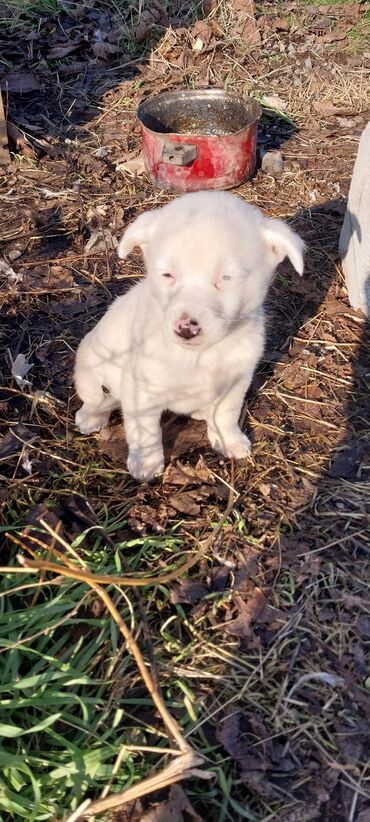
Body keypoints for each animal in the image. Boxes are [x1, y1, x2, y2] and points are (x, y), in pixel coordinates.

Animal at [74, 192, 304, 482]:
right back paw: (91, 416)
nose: (186, 328)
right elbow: (145, 432)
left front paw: (228, 440)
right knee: (96, 398)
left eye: (226, 278)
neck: (201, 356)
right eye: (167, 275)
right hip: (88, 366)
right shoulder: (143, 392)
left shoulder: (237, 381)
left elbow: (226, 415)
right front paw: (146, 463)